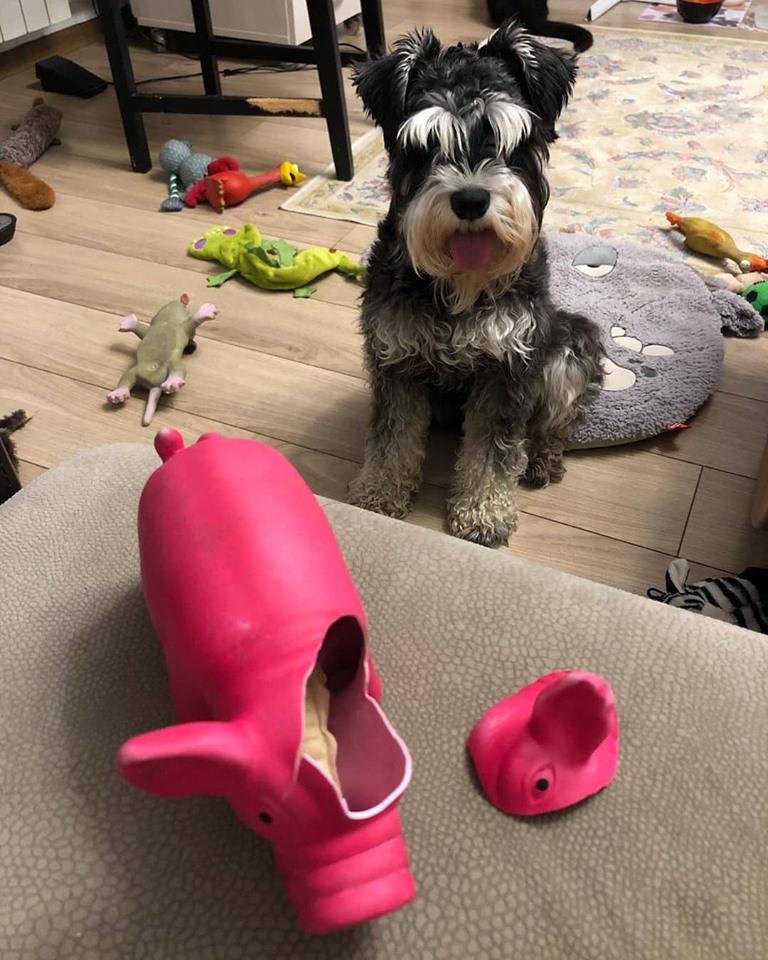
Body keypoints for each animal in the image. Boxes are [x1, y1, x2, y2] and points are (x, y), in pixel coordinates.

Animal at [348, 22, 608, 548]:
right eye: (426, 145)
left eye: (507, 140)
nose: (470, 200)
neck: (457, 286)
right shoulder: (394, 358)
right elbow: (392, 437)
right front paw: (379, 495)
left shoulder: (508, 367)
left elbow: (494, 449)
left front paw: (484, 514)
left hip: (571, 343)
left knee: (554, 420)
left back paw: (542, 458)